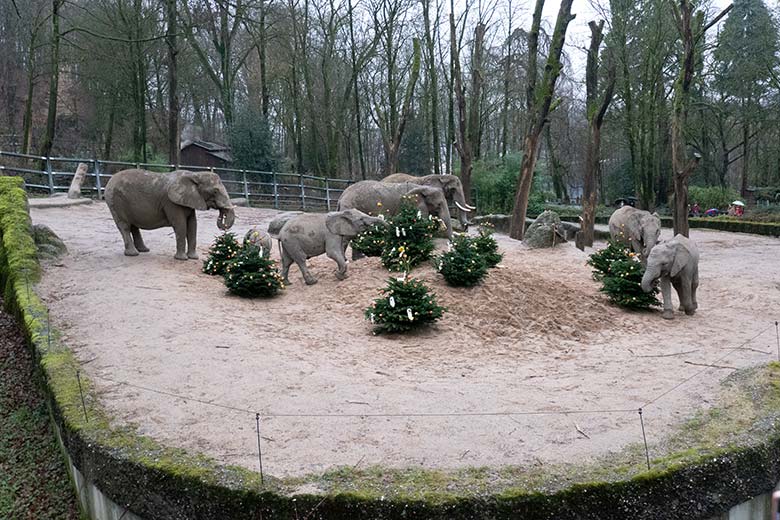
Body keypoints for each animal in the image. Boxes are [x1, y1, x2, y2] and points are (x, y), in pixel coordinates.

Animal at [105, 169, 236, 260]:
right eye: (215, 191)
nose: (222, 216)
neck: (194, 174)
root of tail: (109, 181)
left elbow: (192, 225)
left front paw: (193, 258)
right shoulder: (171, 202)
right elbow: (181, 225)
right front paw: (182, 259)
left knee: (133, 226)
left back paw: (144, 250)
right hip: (115, 202)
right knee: (125, 226)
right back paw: (133, 254)